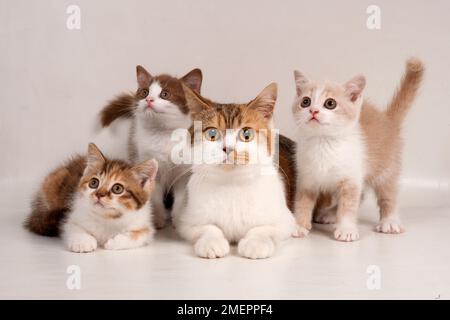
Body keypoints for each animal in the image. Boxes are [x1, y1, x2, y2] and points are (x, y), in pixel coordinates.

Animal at [25, 58, 426, 258]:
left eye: (246, 134)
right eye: (213, 134)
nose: (227, 149)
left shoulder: (281, 219)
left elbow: (267, 230)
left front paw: (252, 244)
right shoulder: (190, 216)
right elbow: (206, 228)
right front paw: (215, 243)